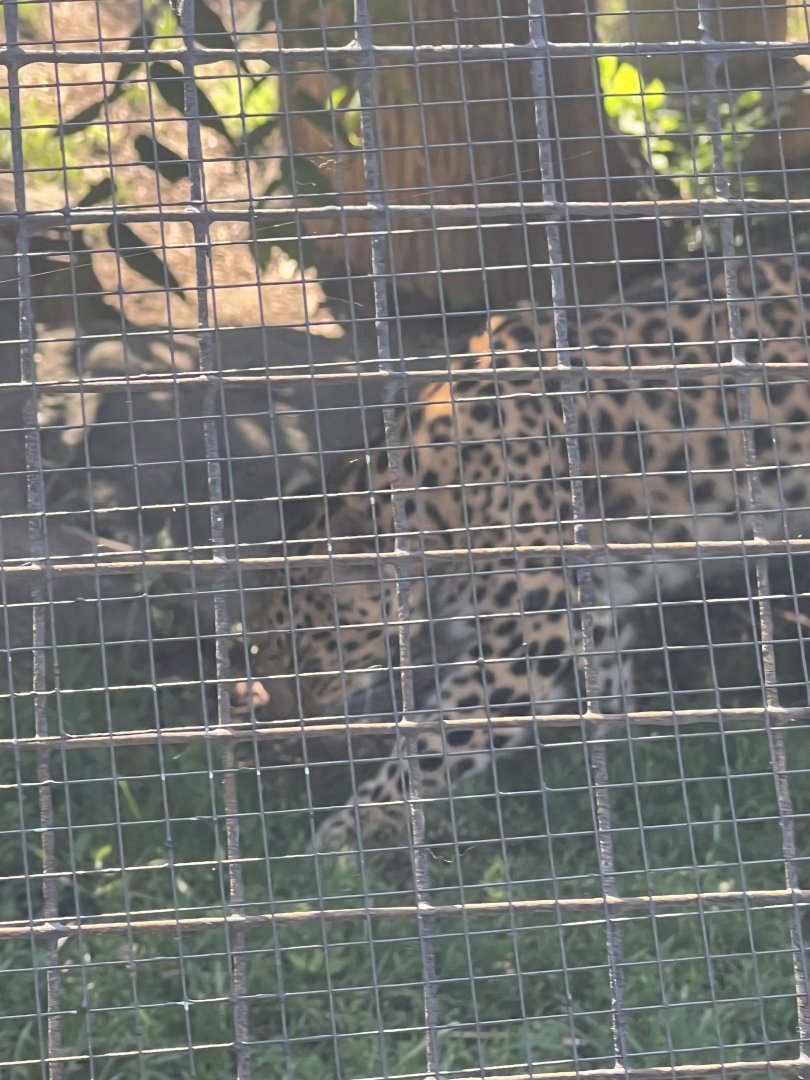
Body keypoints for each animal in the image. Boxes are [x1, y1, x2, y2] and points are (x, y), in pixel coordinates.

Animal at [237, 252, 810, 853]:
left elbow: (438, 742)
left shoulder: (526, 635)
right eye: (257, 646)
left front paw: (351, 835)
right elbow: (607, 677)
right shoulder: (590, 594)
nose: (279, 724)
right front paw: (615, 750)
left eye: (301, 649)